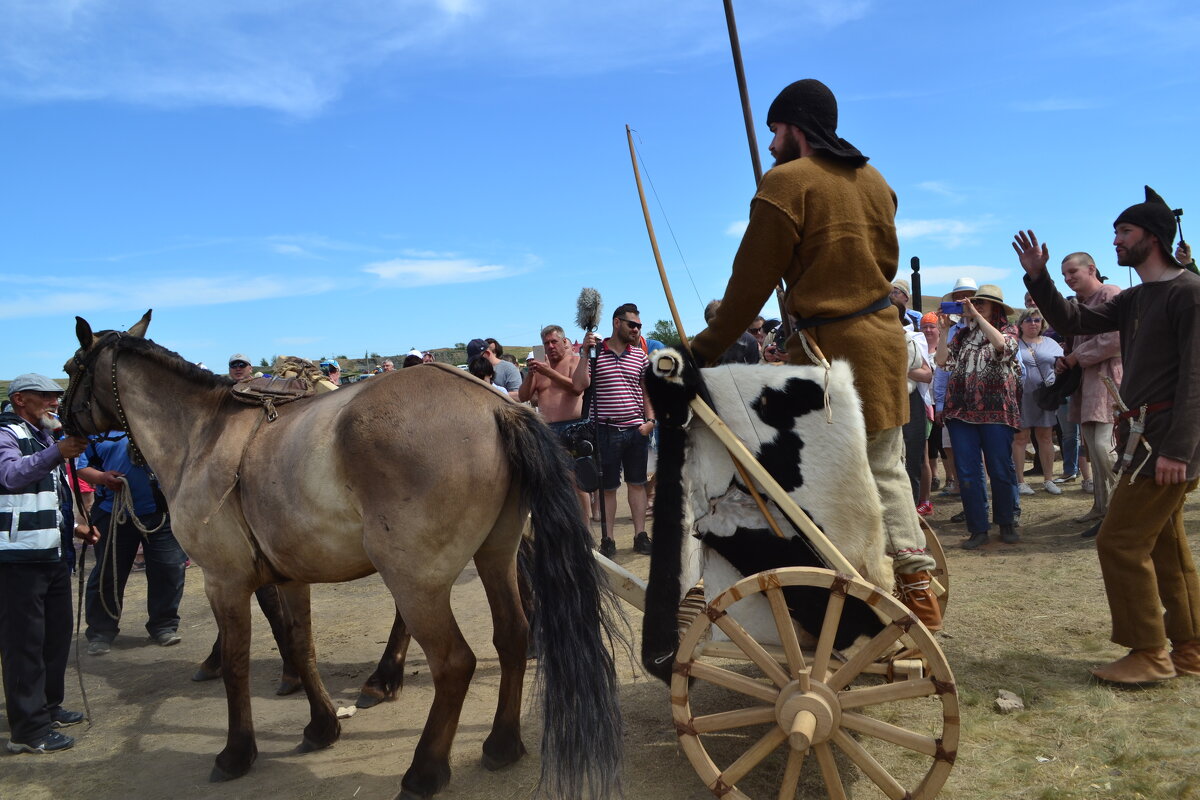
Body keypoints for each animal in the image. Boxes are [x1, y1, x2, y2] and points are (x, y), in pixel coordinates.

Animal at [63, 311, 628, 800]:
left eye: (71, 370)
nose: (65, 432)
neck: (200, 437)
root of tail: (498, 405)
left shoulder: (224, 580)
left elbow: (237, 663)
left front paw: (236, 752)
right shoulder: (289, 576)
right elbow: (300, 645)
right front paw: (321, 726)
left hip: (414, 580)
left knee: (454, 663)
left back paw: (424, 770)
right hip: (495, 556)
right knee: (511, 637)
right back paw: (502, 743)